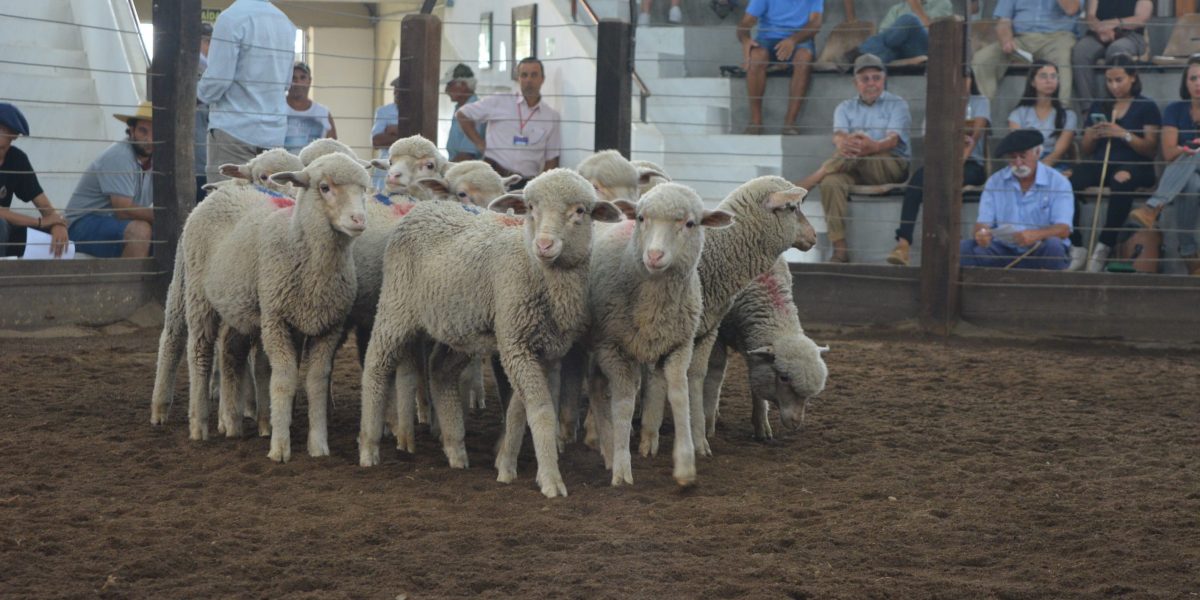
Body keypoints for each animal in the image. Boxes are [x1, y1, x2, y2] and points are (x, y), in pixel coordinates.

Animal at [152, 152, 372, 460]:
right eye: (325, 187)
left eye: (364, 189)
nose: (359, 219)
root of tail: (225, 192)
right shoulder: (275, 319)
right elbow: (283, 378)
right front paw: (279, 446)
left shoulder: (326, 326)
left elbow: (316, 381)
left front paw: (317, 445)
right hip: (194, 292)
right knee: (194, 350)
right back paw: (192, 422)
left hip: (236, 305)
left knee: (230, 351)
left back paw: (233, 422)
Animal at [357, 168, 624, 496]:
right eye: (531, 208)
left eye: (580, 211)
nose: (544, 245)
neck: (536, 270)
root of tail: (424, 206)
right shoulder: (515, 343)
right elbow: (541, 411)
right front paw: (550, 479)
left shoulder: (541, 349)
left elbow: (518, 409)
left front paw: (506, 465)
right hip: (396, 307)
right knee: (376, 365)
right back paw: (369, 447)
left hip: (459, 328)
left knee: (440, 370)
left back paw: (455, 449)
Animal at [638, 175, 816, 456]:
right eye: (792, 208)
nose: (814, 236)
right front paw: (649, 438)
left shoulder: (709, 329)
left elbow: (697, 378)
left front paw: (699, 437)